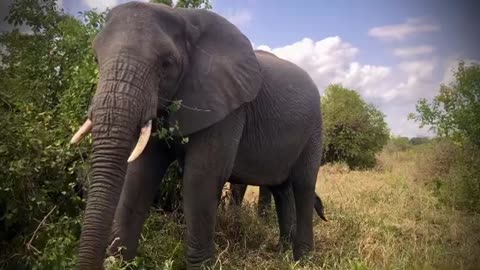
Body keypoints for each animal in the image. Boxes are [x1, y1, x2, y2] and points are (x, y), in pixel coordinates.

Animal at [71, 1, 324, 268]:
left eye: (167, 63)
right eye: (96, 58)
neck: (183, 18)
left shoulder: (228, 108)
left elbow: (201, 177)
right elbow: (139, 174)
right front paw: (120, 262)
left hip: (315, 129)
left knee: (303, 185)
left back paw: (303, 260)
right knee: (281, 189)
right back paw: (284, 254)